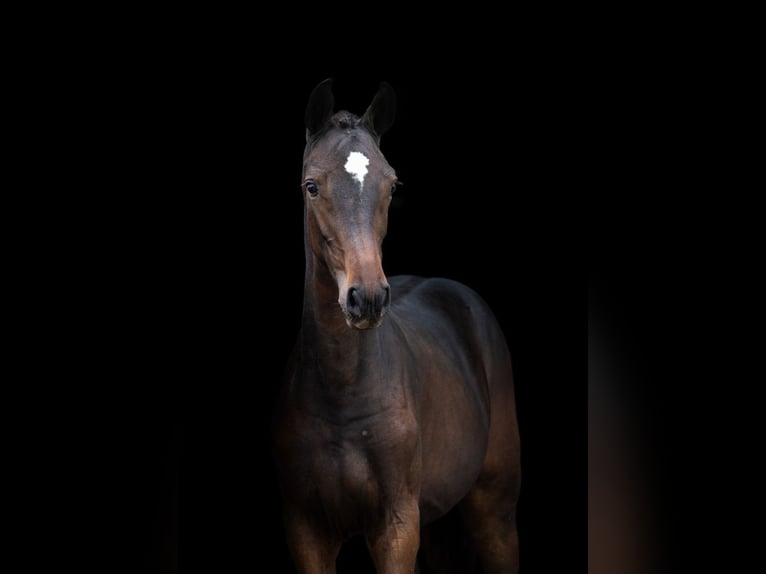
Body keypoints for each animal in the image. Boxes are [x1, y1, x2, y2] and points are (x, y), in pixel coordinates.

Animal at [274, 79, 520, 572]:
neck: (344, 392)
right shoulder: (306, 530)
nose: (367, 298)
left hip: (495, 513)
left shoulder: (396, 528)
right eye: (311, 186)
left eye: (392, 184)